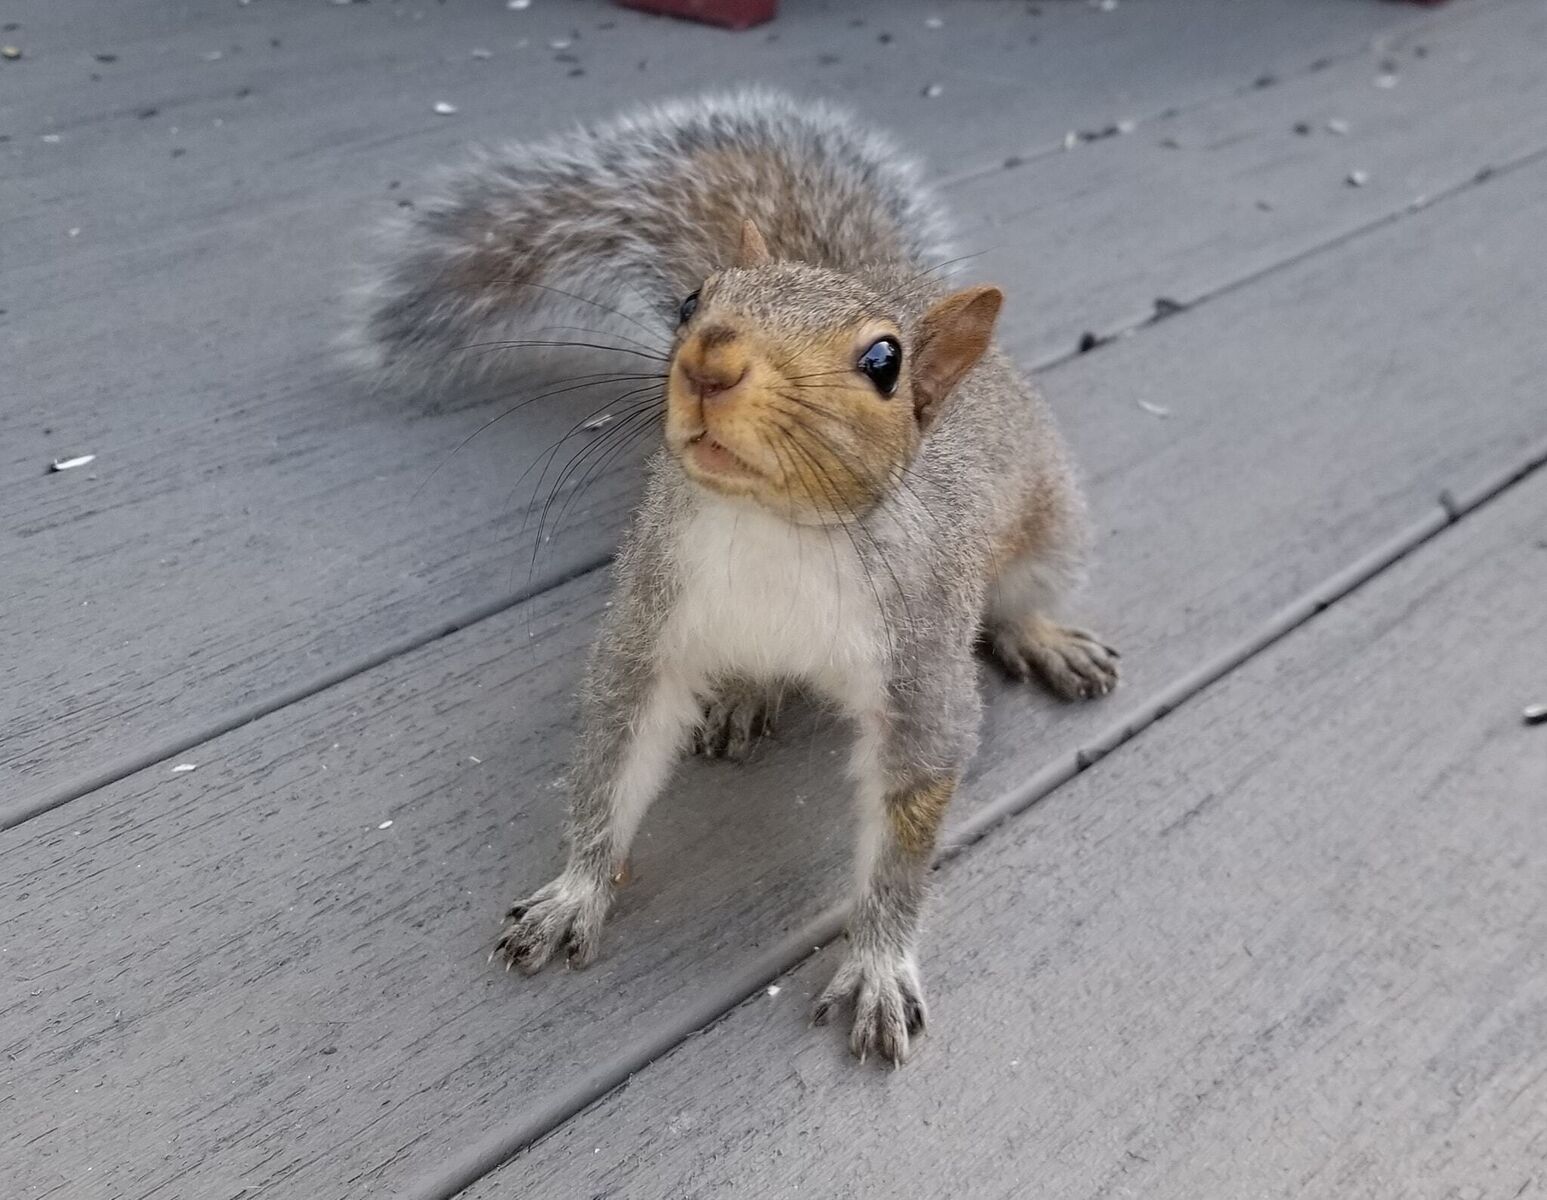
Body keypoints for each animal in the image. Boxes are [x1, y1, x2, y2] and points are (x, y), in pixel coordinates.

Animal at [357, 91, 1118, 1064]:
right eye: (692, 301)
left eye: (884, 361)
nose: (708, 359)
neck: (772, 528)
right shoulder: (652, 629)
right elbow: (615, 763)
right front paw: (576, 889)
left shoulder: (920, 674)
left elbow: (903, 830)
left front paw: (879, 961)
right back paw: (746, 696)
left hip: (1048, 526)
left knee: (1025, 593)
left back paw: (1044, 636)